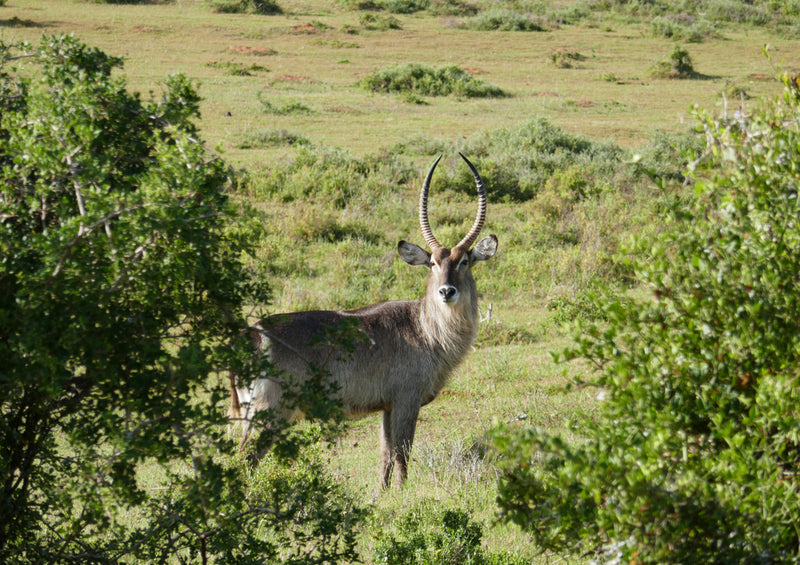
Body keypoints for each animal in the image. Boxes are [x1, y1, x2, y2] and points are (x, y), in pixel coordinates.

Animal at [228, 152, 496, 486]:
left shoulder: (387, 407)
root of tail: (249, 335)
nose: (447, 291)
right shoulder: (406, 401)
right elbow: (402, 455)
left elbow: (385, 458)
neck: (426, 330)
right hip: (267, 414)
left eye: (464, 262)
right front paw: (403, 494)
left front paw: (382, 495)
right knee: (243, 461)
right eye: (433, 263)